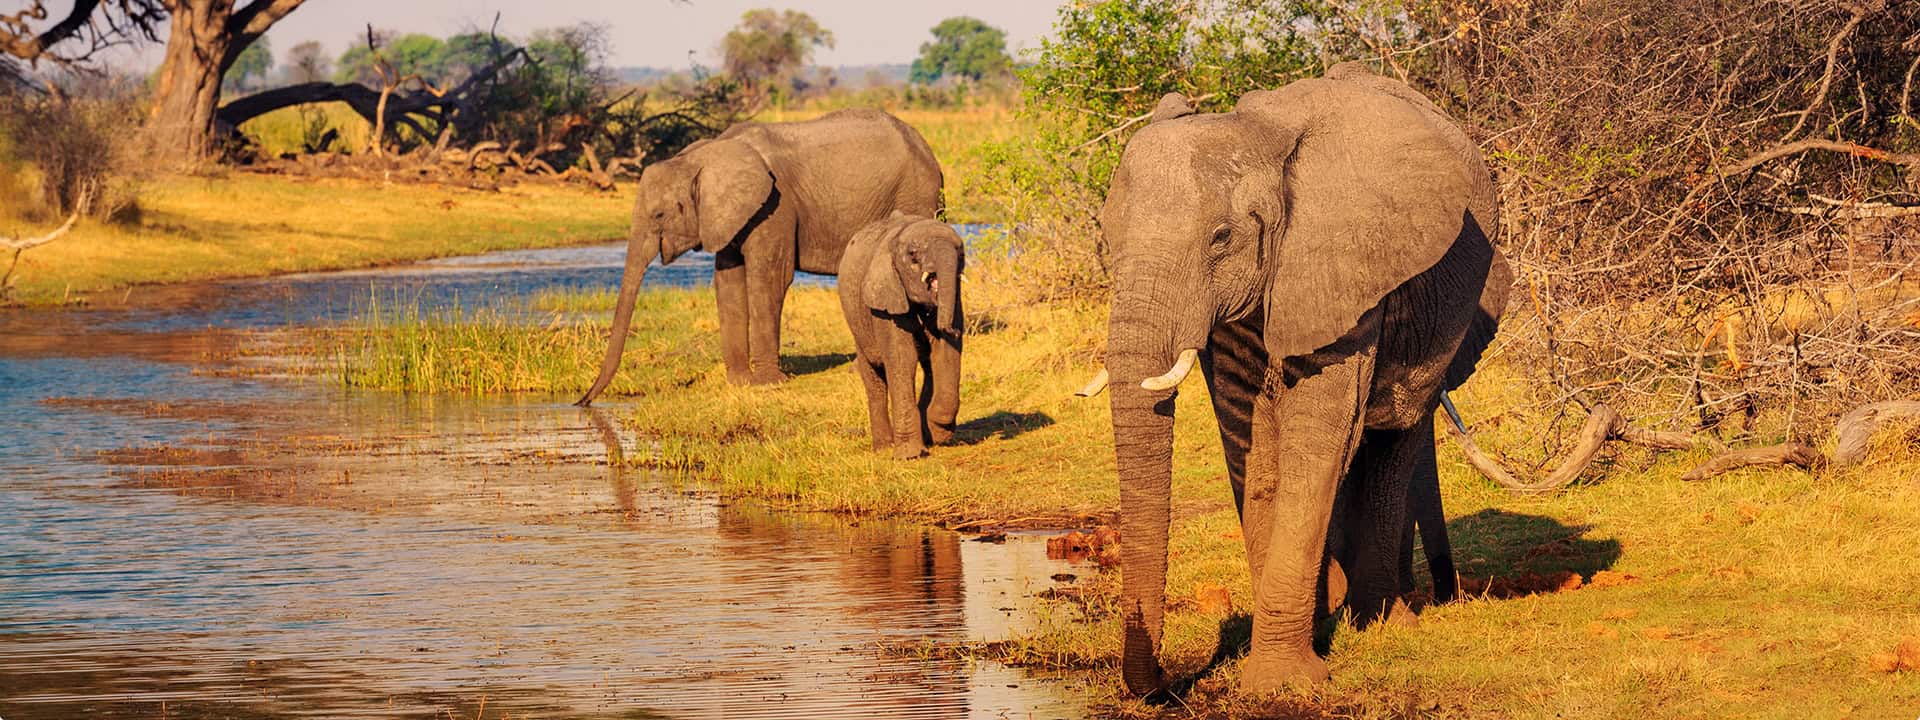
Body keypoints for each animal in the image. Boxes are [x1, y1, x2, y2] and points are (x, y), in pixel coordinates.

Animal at [576, 108, 944, 405]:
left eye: (659, 215)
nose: (582, 402)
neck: (704, 156)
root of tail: (924, 145)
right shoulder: (728, 216)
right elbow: (728, 282)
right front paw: (740, 383)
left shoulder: (775, 205)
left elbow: (769, 279)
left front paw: (769, 383)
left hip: (915, 195)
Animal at [836, 212, 965, 459]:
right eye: (913, 254)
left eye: (961, 252)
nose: (953, 329)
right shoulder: (885, 299)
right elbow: (902, 357)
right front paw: (910, 455)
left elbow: (945, 352)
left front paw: (939, 432)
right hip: (858, 326)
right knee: (874, 380)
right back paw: (884, 447)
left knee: (929, 366)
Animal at [1078, 64, 1510, 695]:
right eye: (1108, 239)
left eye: (1221, 238)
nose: (1161, 680)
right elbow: (1253, 442)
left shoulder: (1342, 264)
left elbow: (1318, 432)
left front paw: (1280, 684)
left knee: (1393, 437)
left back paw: (1382, 620)